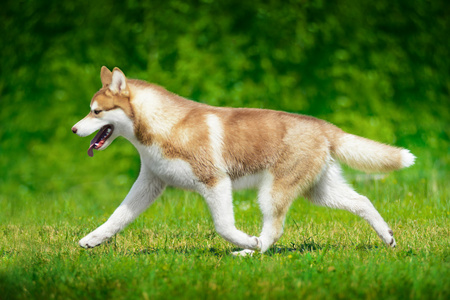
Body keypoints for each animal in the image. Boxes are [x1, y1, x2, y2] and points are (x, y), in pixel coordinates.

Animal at [73, 67, 414, 254]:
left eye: (96, 112)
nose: (74, 129)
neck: (163, 126)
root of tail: (323, 125)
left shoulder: (215, 182)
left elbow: (224, 226)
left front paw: (247, 242)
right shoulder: (149, 184)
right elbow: (117, 217)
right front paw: (92, 239)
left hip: (273, 193)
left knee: (273, 231)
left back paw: (252, 252)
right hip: (320, 192)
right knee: (363, 201)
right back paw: (388, 237)